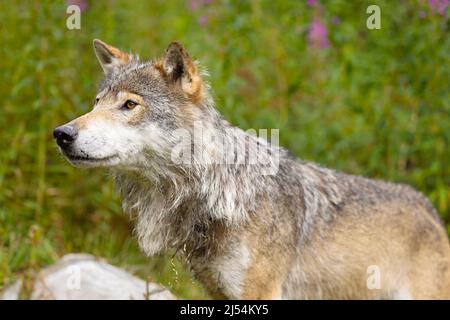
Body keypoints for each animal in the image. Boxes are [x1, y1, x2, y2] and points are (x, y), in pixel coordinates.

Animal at [54, 40, 450, 300]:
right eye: (96, 103)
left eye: (129, 105)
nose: (61, 134)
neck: (215, 195)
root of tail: (427, 208)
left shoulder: (259, 292)